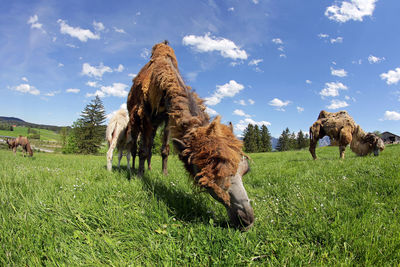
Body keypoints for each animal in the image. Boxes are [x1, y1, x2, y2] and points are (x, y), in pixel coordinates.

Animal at [126, 40, 255, 231]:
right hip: (135, 117)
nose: (246, 219)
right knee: (135, 146)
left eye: (245, 169)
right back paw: (134, 169)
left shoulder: (167, 118)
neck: (161, 89)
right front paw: (140, 177)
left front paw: (164, 174)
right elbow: (143, 150)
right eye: (206, 178)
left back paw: (148, 168)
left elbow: (164, 150)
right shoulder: (147, 116)